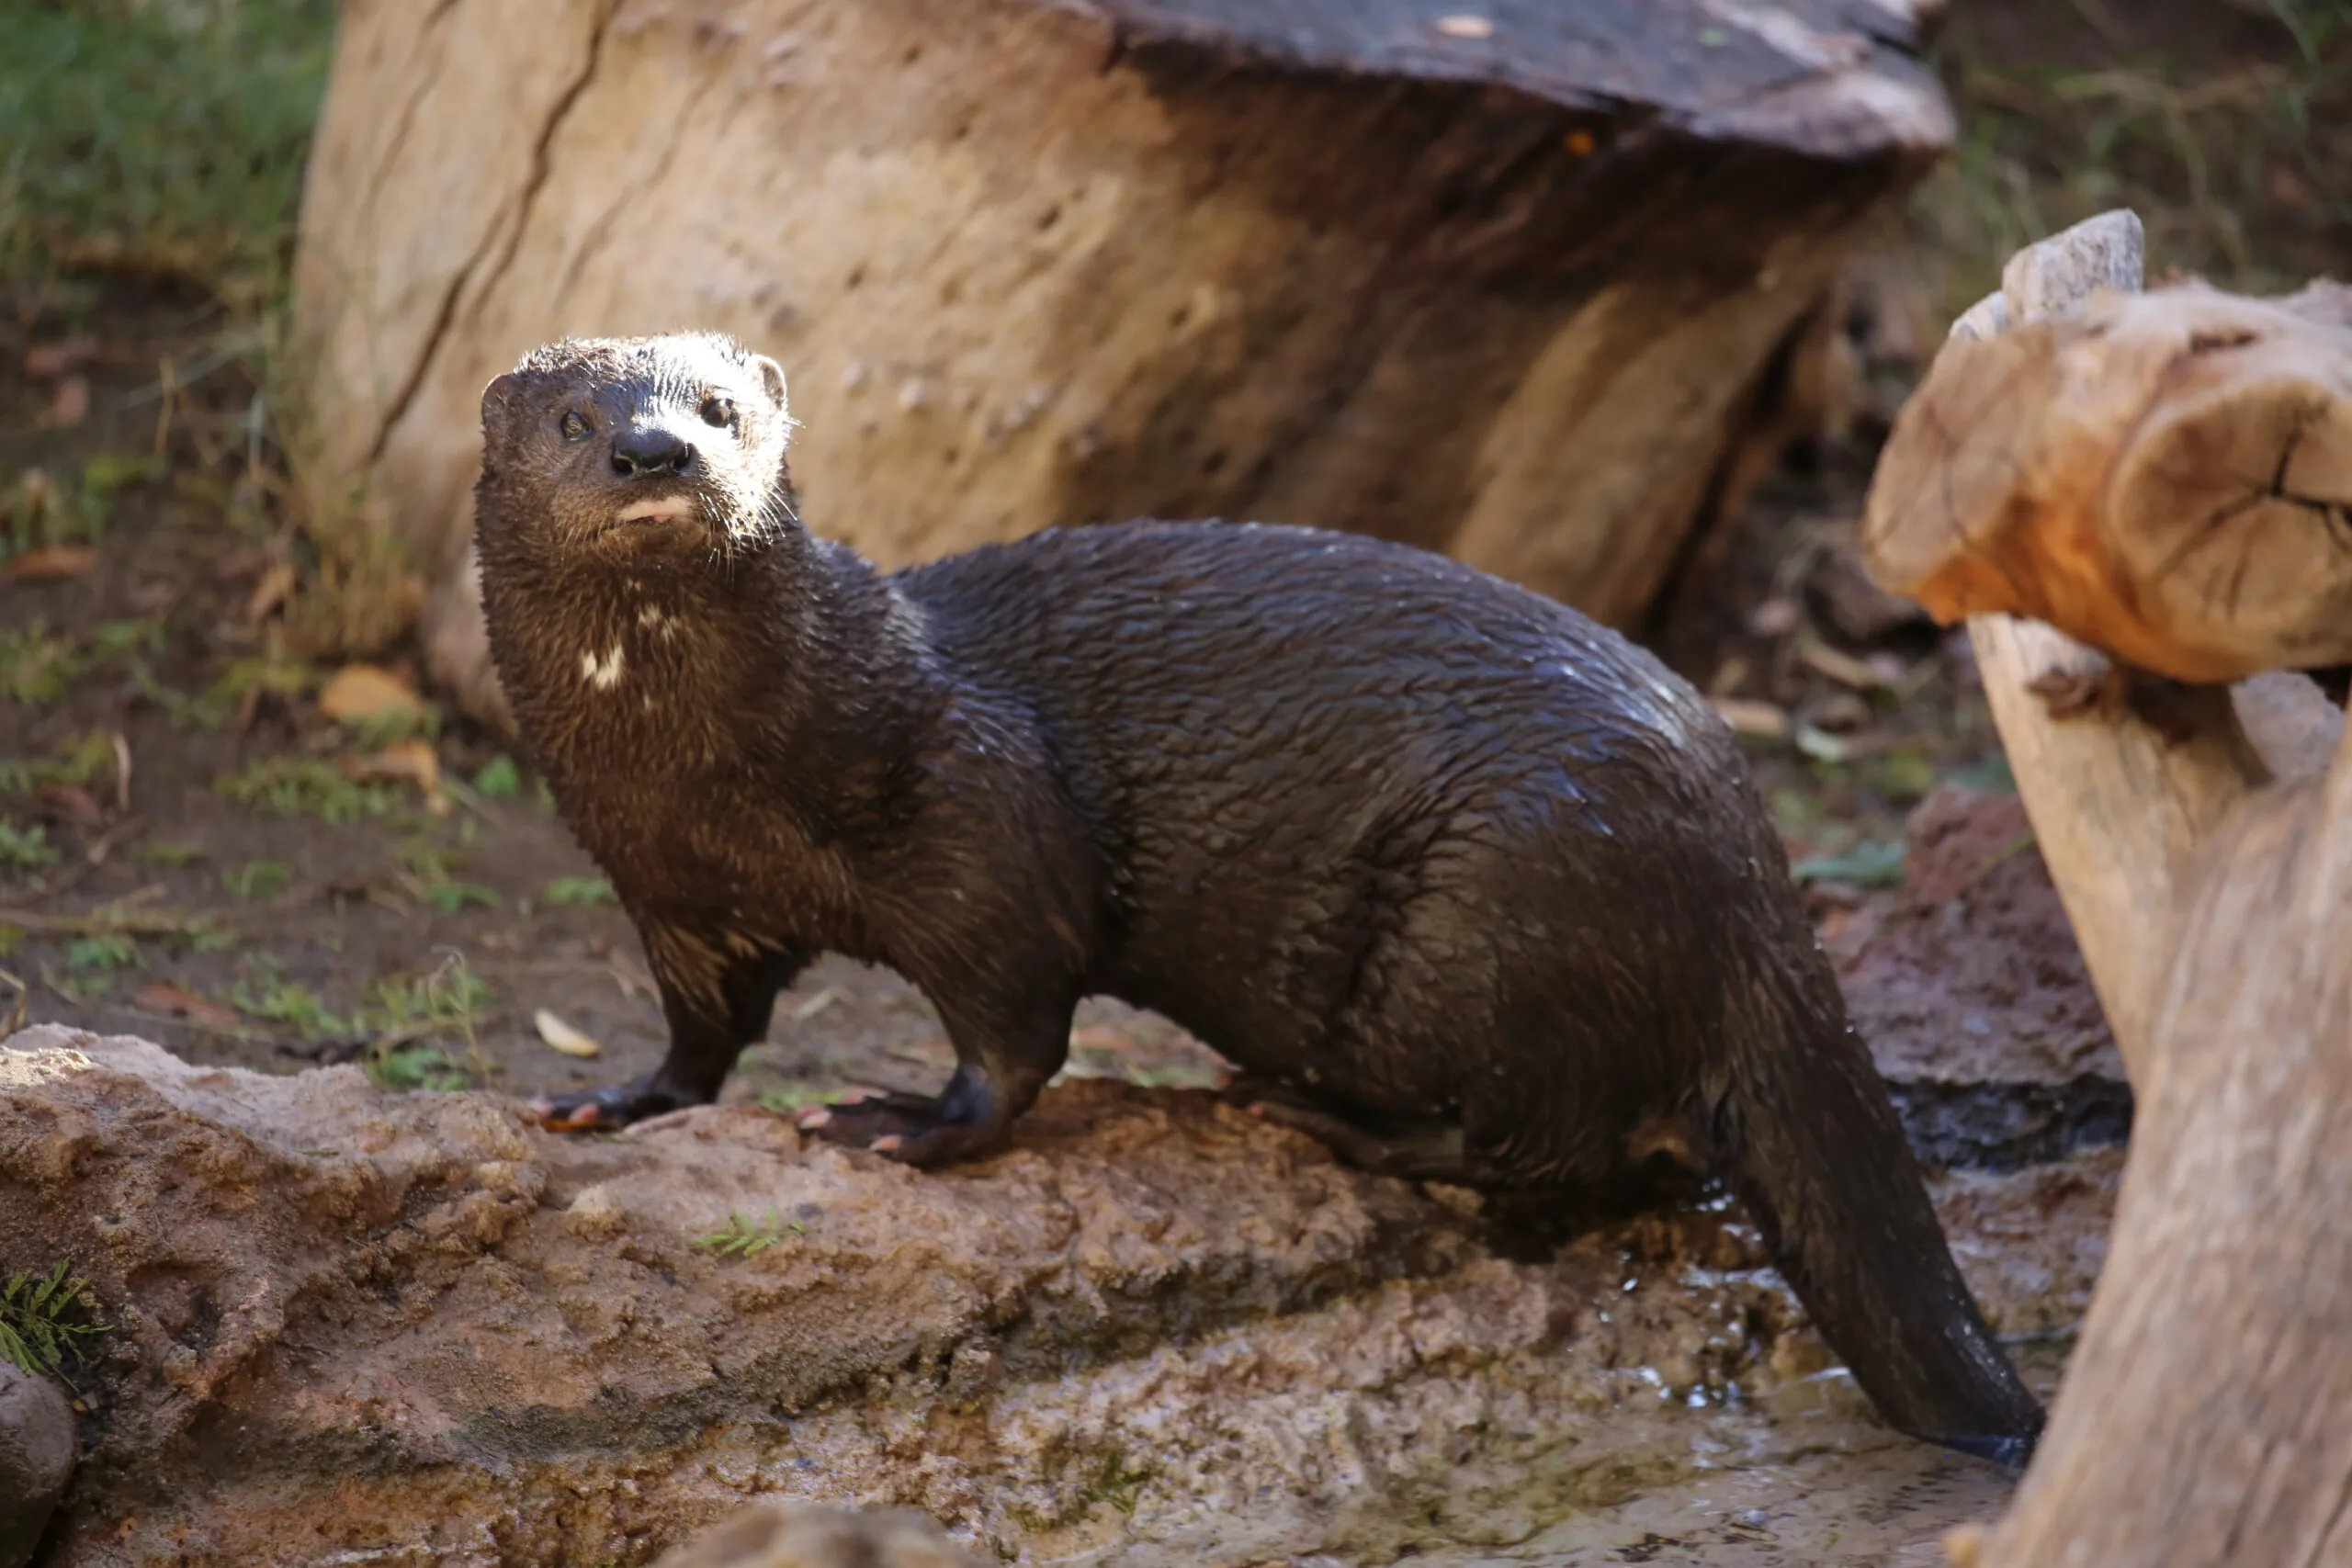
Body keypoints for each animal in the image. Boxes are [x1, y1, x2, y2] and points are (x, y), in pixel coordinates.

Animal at [472, 331, 2041, 1476]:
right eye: (576, 417)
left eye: (722, 405)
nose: (656, 449)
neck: (712, 774)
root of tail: (1747, 848)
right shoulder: (665, 887)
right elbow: (702, 1030)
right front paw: (611, 1101)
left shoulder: (982, 809)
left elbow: (1013, 1025)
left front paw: (900, 1121)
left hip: (1493, 908)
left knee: (1562, 1139)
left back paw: (1313, 1111)